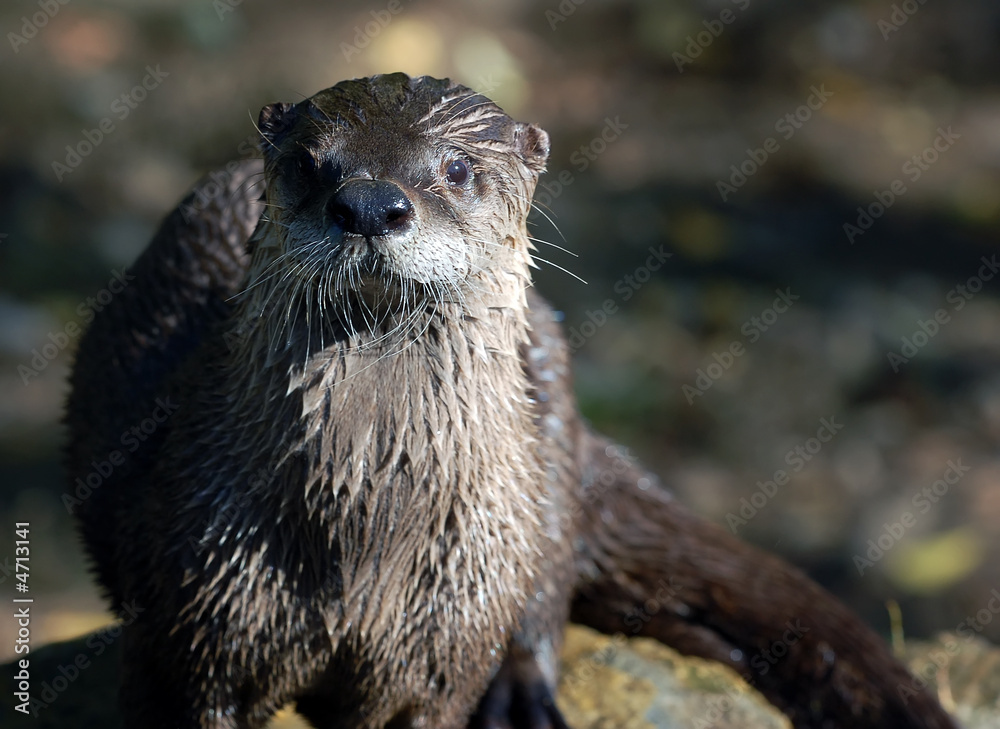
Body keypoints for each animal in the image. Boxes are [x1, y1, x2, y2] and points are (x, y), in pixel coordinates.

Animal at [66, 74, 956, 728]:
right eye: (310, 163)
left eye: (457, 168)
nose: (369, 204)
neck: (364, 524)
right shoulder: (192, 618)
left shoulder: (444, 635)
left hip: (544, 431)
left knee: (550, 572)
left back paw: (522, 691)